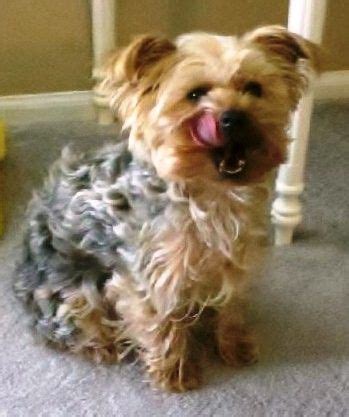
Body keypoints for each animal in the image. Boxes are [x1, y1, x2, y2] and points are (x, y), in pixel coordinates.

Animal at [13, 25, 320, 390]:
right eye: (195, 94)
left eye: (254, 89)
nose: (234, 117)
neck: (212, 196)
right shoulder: (149, 273)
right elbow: (161, 323)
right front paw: (175, 372)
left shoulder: (236, 261)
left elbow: (232, 306)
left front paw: (234, 345)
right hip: (72, 292)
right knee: (76, 325)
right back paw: (106, 344)